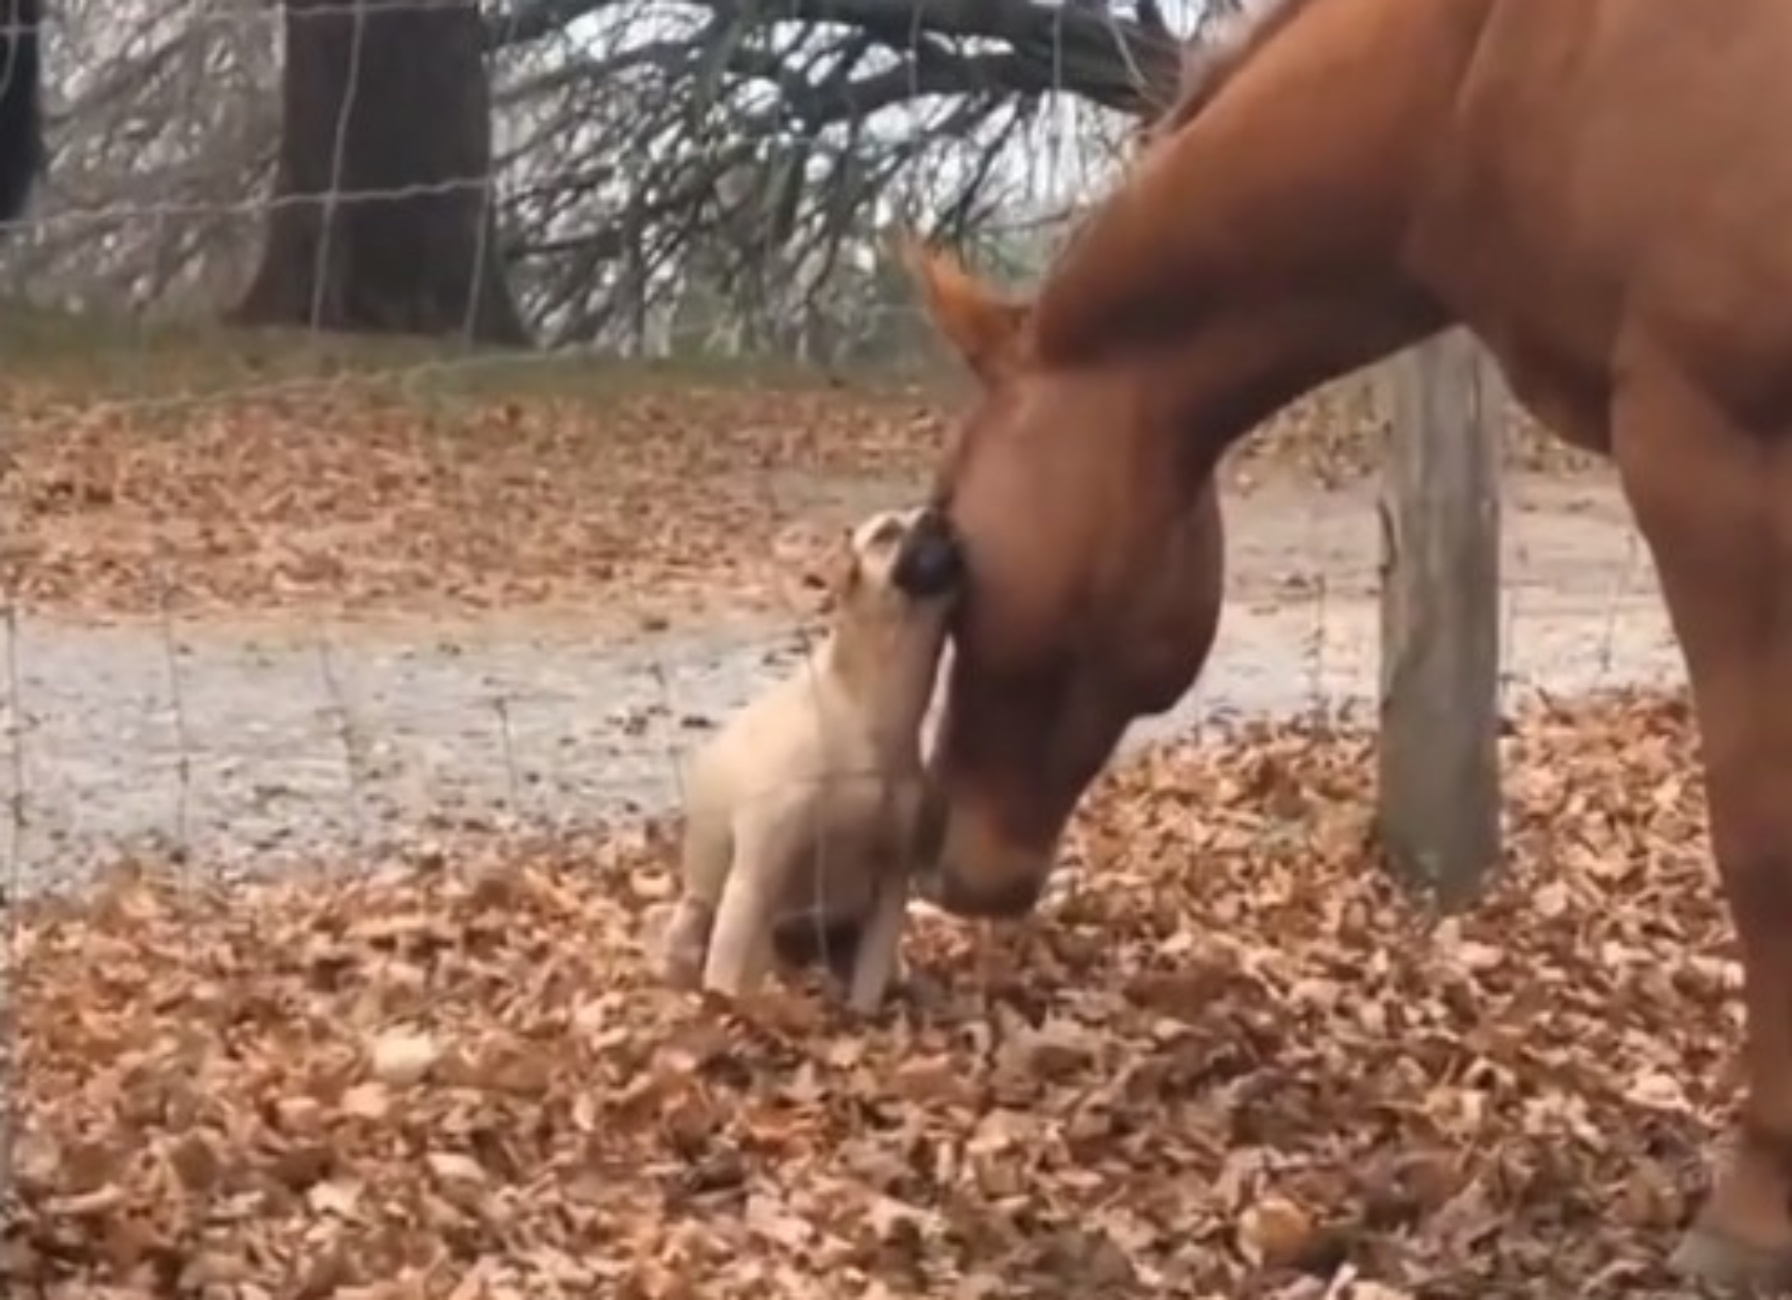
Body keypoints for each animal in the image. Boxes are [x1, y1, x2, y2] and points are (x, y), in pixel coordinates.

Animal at [659, 502, 967, 1011]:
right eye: (885, 533)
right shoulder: (755, 876)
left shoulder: (890, 884)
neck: (869, 711)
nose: (938, 512)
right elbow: (725, 972)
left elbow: (869, 983)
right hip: (705, 900)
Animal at [910, 0, 1792, 1283]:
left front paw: (1757, 1210)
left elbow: (1762, 841)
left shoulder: (1719, 464)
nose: (947, 856)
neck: (1482, 70)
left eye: (947, 542)